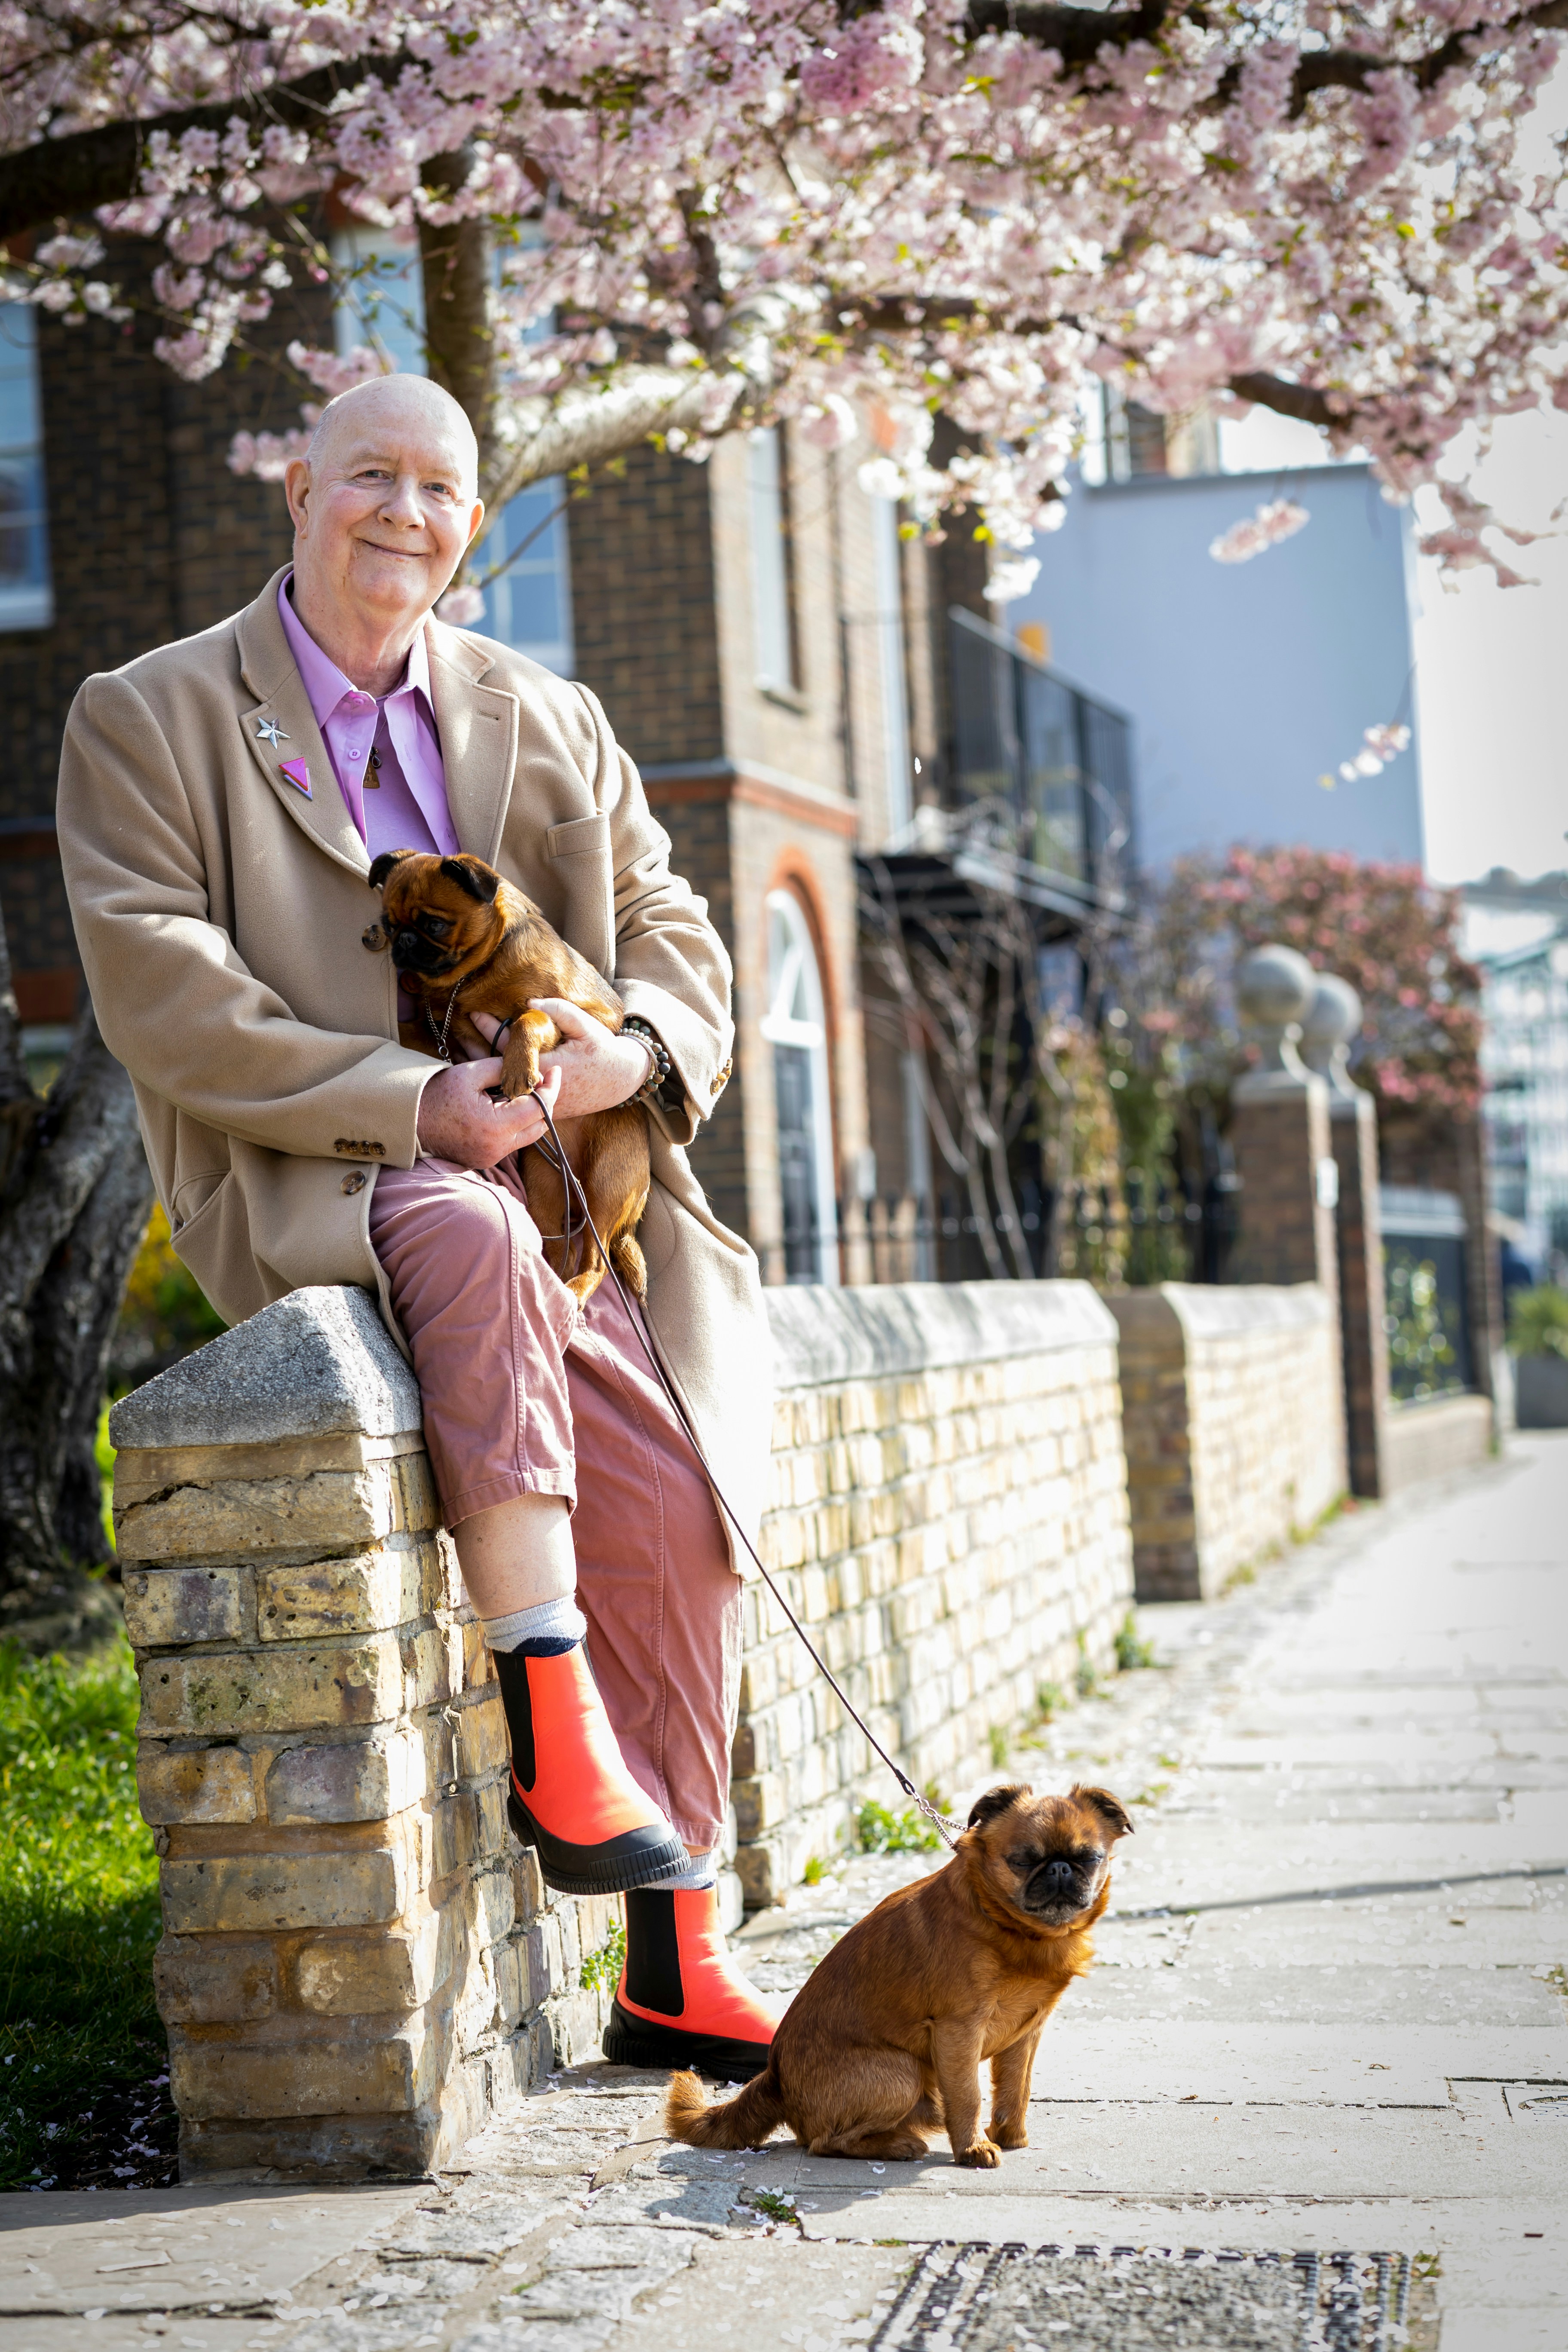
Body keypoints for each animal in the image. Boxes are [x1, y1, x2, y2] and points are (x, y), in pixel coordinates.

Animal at [367, 846, 649, 1308]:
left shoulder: (568, 1013)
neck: (475, 975)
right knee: (561, 1250)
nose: (404, 942)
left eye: (434, 924)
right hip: (546, 1185)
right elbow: (412, 1030)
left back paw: (576, 1291)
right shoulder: (443, 1032)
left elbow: (527, 1021)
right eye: (390, 927)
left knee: (596, 1259)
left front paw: (519, 1068)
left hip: (607, 1181)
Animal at [658, 1778, 1128, 2164]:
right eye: (1023, 1861)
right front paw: (974, 2149)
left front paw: (1011, 2137)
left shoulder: (1025, 2035)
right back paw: (898, 2146)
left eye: (1089, 1859)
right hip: (904, 2072)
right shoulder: (959, 2032)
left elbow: (1016, 2090)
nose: (1061, 1868)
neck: (1011, 1926)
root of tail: (774, 2078)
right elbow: (969, 2095)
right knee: (824, 2143)